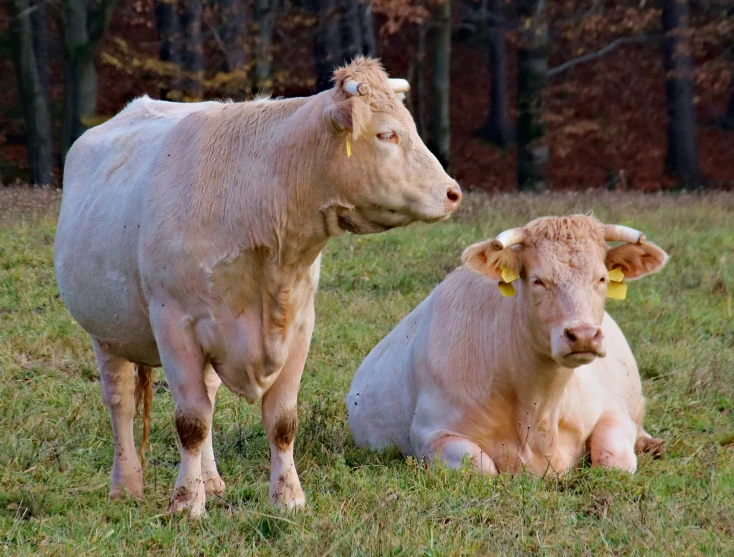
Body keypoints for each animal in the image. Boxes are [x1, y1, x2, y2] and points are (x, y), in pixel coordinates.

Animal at [54, 57, 462, 516]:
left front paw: (288, 497)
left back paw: (212, 481)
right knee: (121, 403)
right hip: (106, 333)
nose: (452, 192)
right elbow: (190, 422)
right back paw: (126, 484)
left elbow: (281, 420)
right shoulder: (174, 323)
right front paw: (187, 503)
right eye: (387, 134)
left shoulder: (299, 325)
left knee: (208, 398)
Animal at [350, 215, 668, 476]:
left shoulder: (613, 410)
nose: (584, 335)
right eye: (538, 280)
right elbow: (481, 467)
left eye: (601, 278)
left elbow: (613, 462)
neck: (538, 409)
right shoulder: (431, 433)